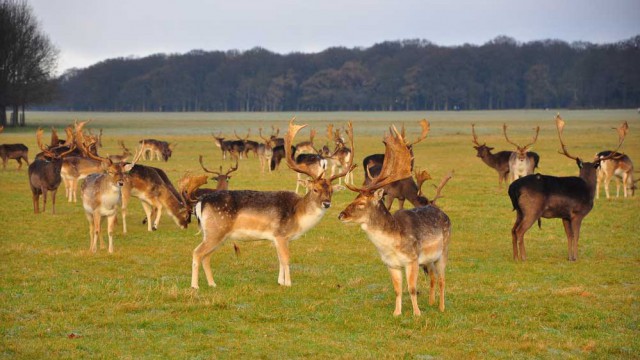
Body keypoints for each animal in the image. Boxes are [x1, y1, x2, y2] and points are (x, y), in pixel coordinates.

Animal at [190, 118, 356, 290]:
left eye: (331, 190)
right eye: (315, 189)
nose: (326, 203)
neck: (298, 215)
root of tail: (201, 202)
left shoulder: (277, 238)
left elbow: (280, 260)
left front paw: (280, 281)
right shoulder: (281, 234)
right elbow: (286, 259)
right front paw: (288, 283)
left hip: (216, 234)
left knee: (206, 256)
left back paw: (212, 284)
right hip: (216, 230)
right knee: (197, 252)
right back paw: (195, 286)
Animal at [338, 125, 452, 316]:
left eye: (361, 203)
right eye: (354, 198)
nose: (341, 215)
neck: (390, 245)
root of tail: (444, 214)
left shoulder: (412, 259)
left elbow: (412, 288)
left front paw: (417, 314)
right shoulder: (391, 264)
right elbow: (398, 290)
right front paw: (397, 313)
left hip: (443, 251)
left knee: (442, 279)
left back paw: (442, 307)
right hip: (428, 260)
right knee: (433, 277)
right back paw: (431, 302)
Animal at [510, 115, 632, 262]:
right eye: (596, 166)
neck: (588, 188)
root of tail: (513, 188)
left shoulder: (565, 216)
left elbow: (569, 235)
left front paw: (569, 257)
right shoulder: (577, 213)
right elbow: (576, 235)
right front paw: (576, 257)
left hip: (519, 211)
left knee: (512, 230)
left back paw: (515, 257)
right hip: (531, 209)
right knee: (519, 231)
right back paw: (523, 257)